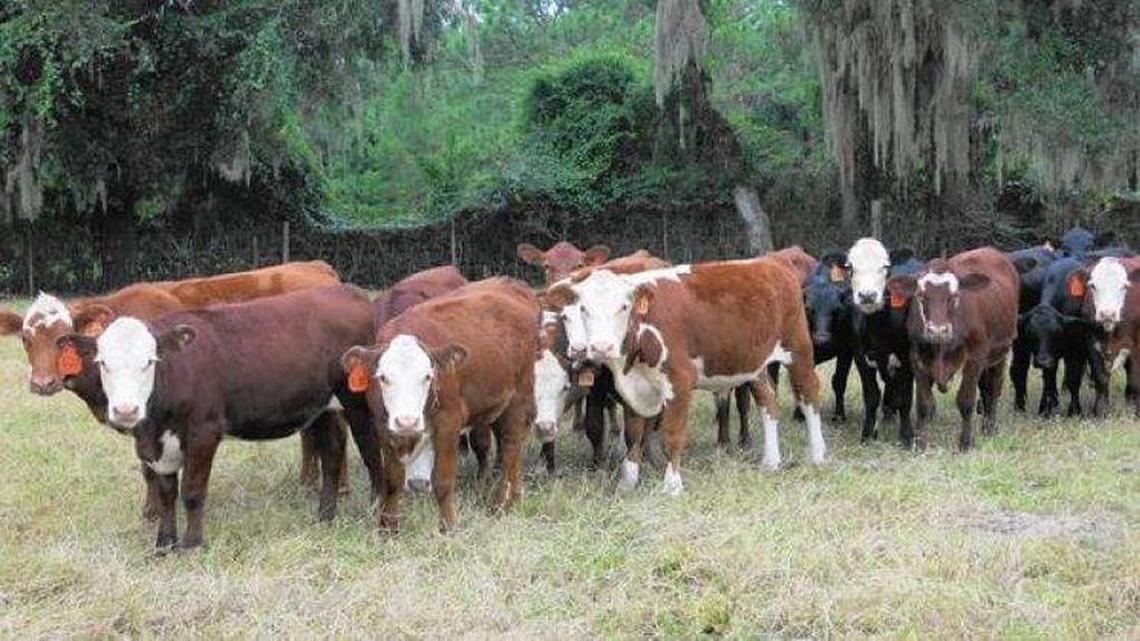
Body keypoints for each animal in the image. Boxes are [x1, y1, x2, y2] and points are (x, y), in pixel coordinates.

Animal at [57, 285, 381, 551]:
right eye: (102, 362)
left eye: (149, 361)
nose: (126, 410)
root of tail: (347, 291)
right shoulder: (159, 446)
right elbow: (165, 494)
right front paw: (164, 543)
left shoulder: (204, 431)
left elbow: (191, 491)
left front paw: (192, 543)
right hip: (322, 408)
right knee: (333, 455)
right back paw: (325, 515)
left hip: (356, 401)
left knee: (370, 451)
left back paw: (375, 505)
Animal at [341, 278, 537, 533]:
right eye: (383, 377)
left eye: (427, 376)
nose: (407, 421)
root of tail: (510, 284)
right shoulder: (383, 426)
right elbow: (392, 480)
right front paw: (387, 528)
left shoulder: (448, 422)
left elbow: (443, 481)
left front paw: (449, 528)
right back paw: (516, 495)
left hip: (519, 397)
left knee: (511, 447)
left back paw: (502, 504)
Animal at [543, 258, 826, 496]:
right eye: (583, 309)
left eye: (624, 307)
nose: (601, 347)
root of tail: (770, 262)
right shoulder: (634, 388)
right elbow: (633, 435)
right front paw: (628, 482)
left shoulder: (680, 381)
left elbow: (672, 435)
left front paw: (672, 485)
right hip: (754, 363)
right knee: (768, 402)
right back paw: (771, 460)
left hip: (798, 348)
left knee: (810, 395)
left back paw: (818, 455)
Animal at [844, 239, 923, 443]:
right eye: (850, 267)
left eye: (886, 266)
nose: (867, 295)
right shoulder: (861, 358)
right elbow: (871, 397)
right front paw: (867, 434)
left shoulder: (907, 357)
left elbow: (905, 399)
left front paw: (907, 437)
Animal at [886, 248, 1018, 452]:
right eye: (921, 296)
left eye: (954, 296)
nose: (938, 330)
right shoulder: (916, 357)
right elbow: (924, 404)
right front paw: (920, 443)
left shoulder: (975, 357)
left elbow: (965, 401)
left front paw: (965, 442)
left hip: (1000, 353)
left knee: (994, 389)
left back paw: (990, 427)